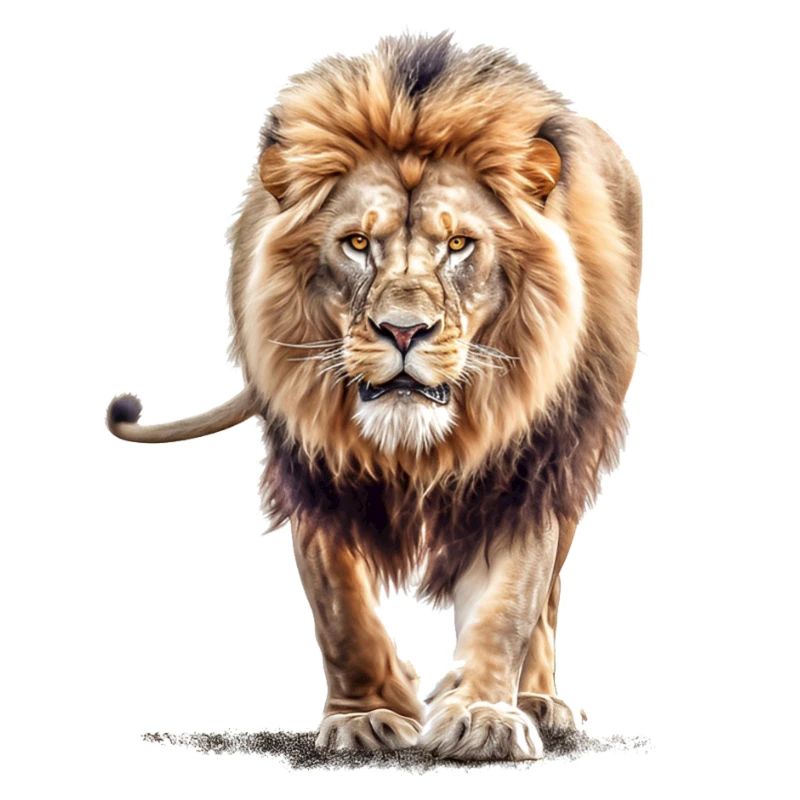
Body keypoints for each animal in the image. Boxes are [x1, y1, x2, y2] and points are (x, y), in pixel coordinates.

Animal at [107, 33, 641, 761]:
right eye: (358, 242)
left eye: (459, 244)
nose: (404, 330)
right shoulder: (315, 467)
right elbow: (342, 610)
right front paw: (366, 715)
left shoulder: (527, 467)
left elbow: (509, 603)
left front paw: (484, 715)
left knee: (550, 590)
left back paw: (538, 701)